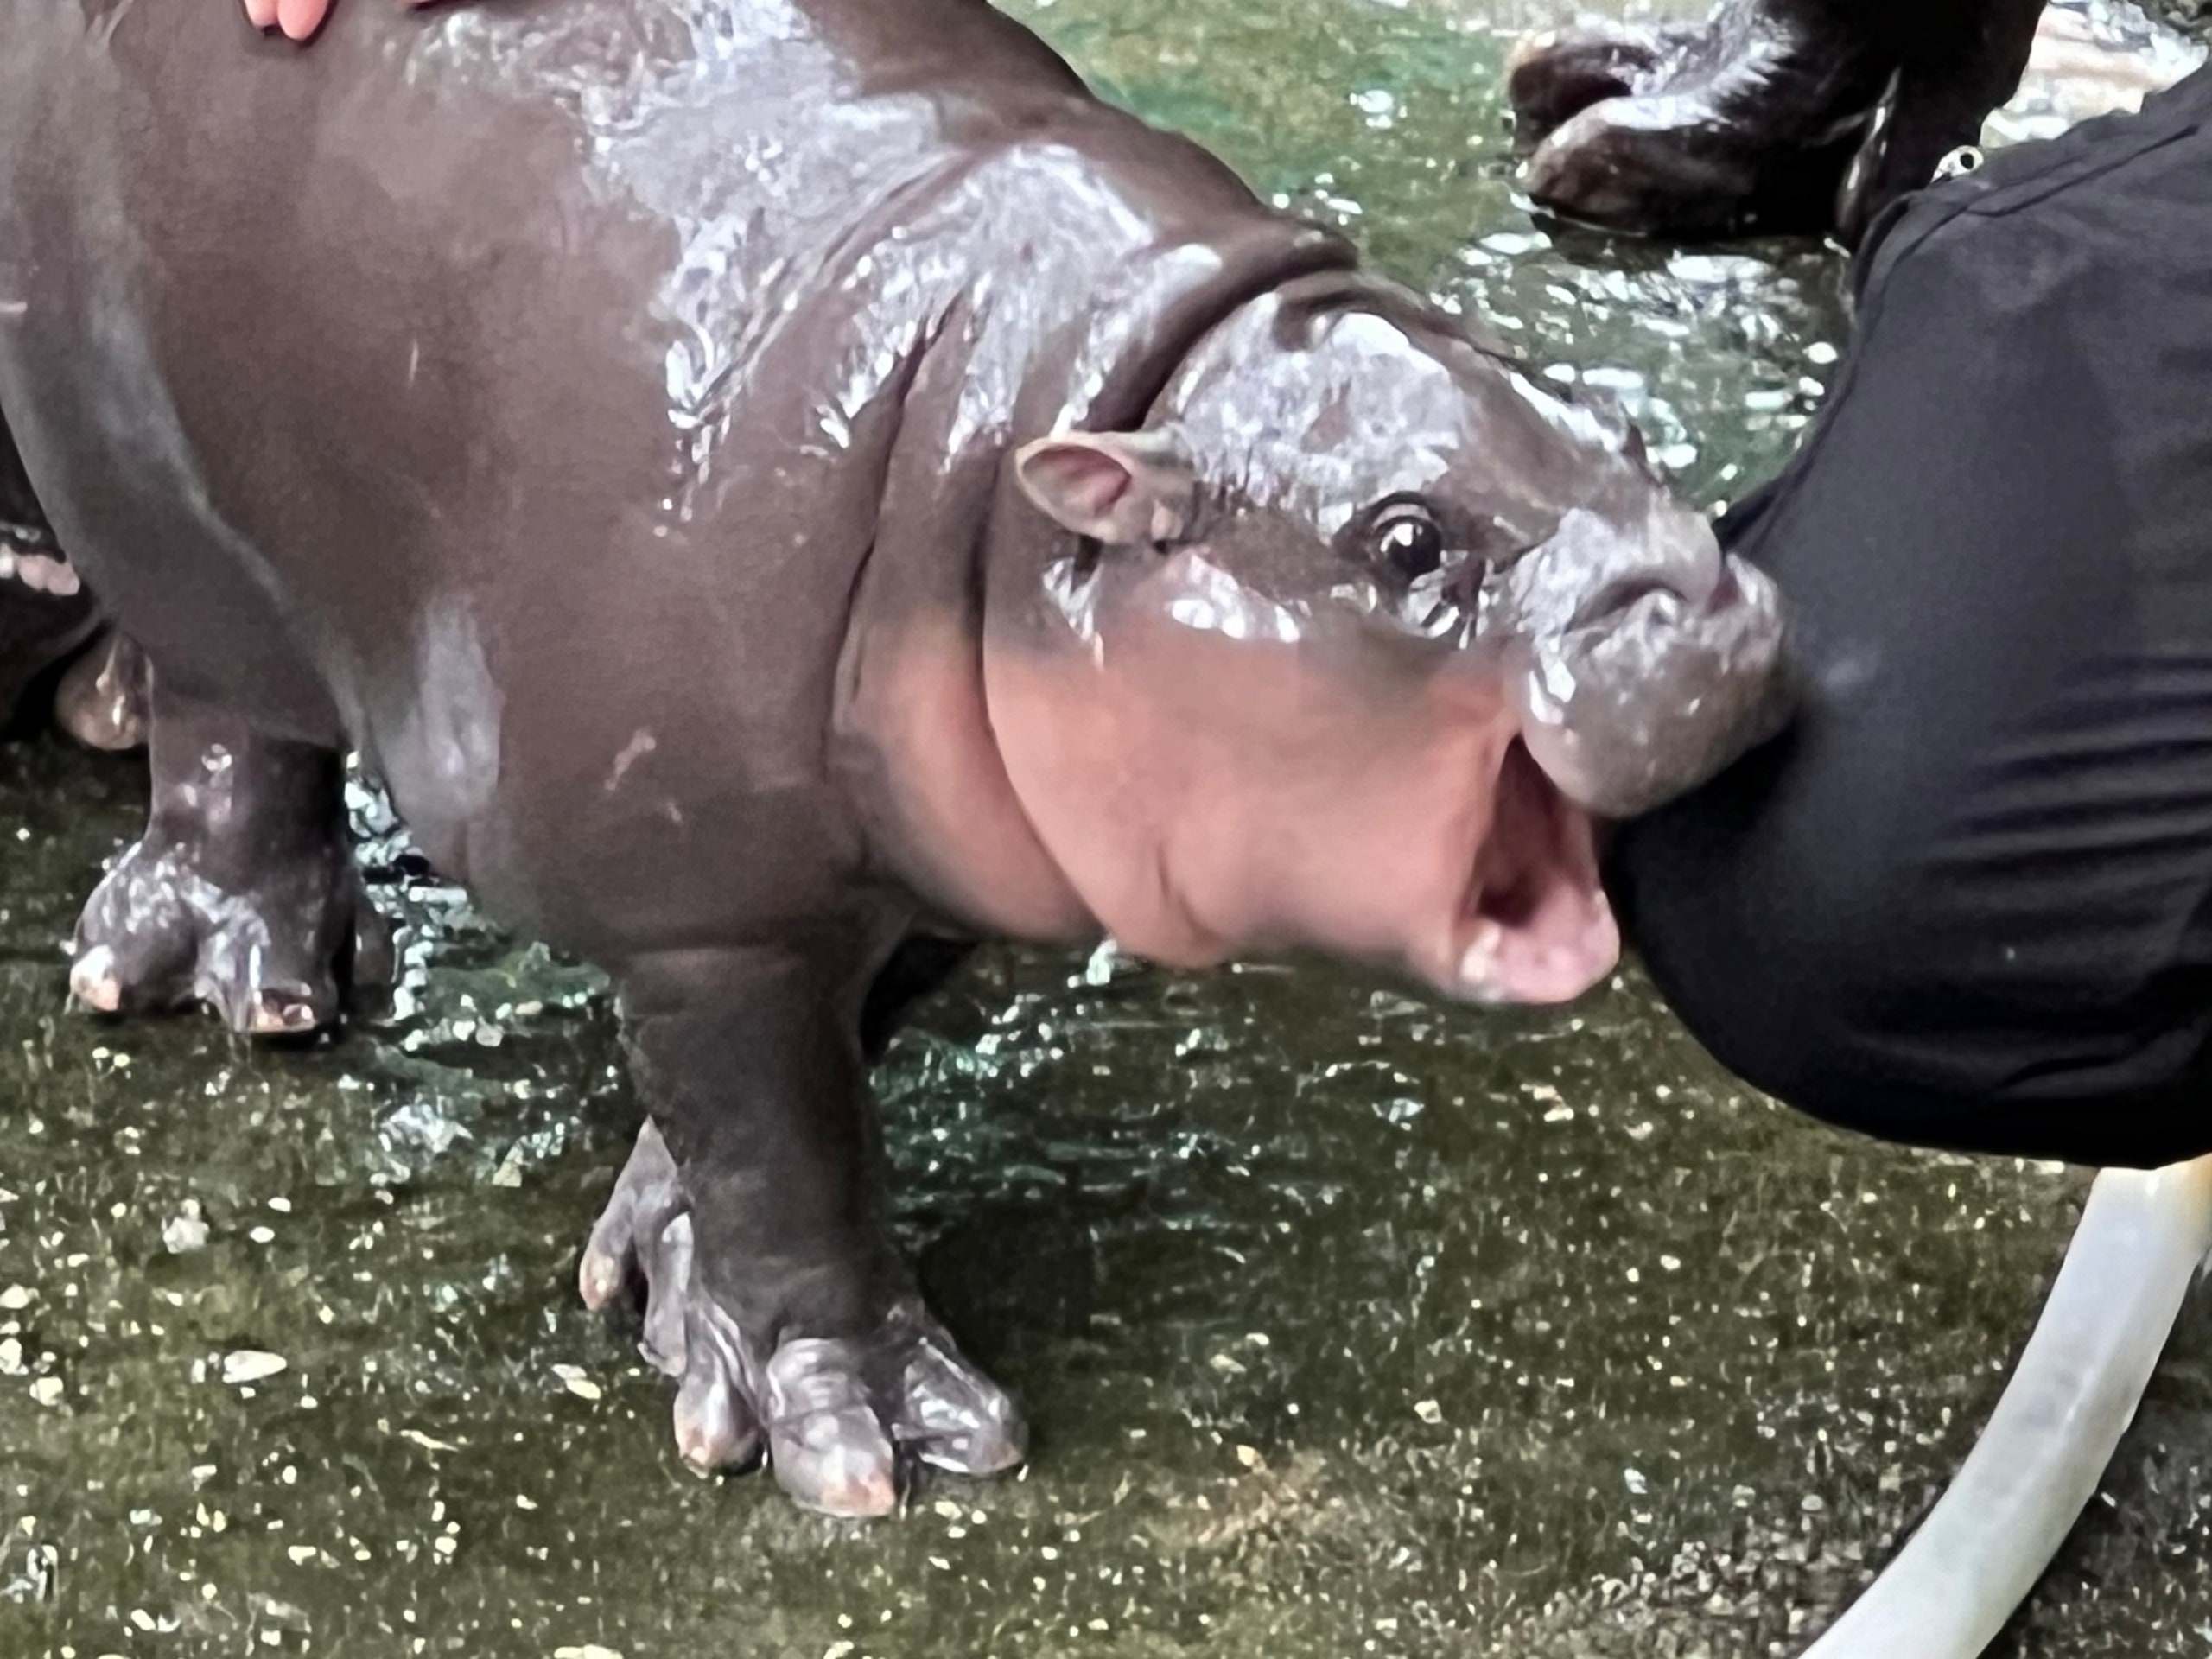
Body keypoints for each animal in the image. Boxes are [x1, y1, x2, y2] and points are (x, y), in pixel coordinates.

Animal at [0, 0, 1787, 1515]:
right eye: (1406, 539)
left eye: (1618, 431)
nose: (1711, 611)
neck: (1035, 452)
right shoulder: (709, 913)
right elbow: (786, 1150)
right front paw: (871, 1441)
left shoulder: (919, 859)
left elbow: (793, 1087)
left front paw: (657, 1265)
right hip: (160, 499)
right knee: (232, 728)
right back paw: (231, 976)